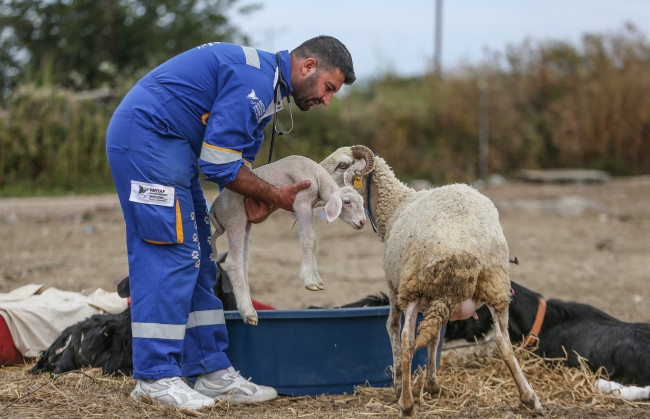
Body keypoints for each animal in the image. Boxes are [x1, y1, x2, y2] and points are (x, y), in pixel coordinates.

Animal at [210, 156, 368, 326]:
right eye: (347, 202)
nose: (362, 222)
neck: (317, 177)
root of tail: (214, 207)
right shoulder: (301, 202)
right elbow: (308, 239)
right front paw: (310, 280)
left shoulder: (309, 206)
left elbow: (314, 240)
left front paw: (317, 280)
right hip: (234, 220)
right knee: (233, 262)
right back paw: (248, 311)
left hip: (246, 224)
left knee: (243, 261)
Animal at [318, 145, 540, 416]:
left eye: (342, 165)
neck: (396, 206)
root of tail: (463, 253)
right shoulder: (436, 298)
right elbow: (435, 336)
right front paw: (432, 385)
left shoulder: (394, 287)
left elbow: (393, 328)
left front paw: (399, 385)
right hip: (495, 285)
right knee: (503, 342)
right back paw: (530, 398)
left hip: (414, 284)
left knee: (406, 340)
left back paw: (406, 403)